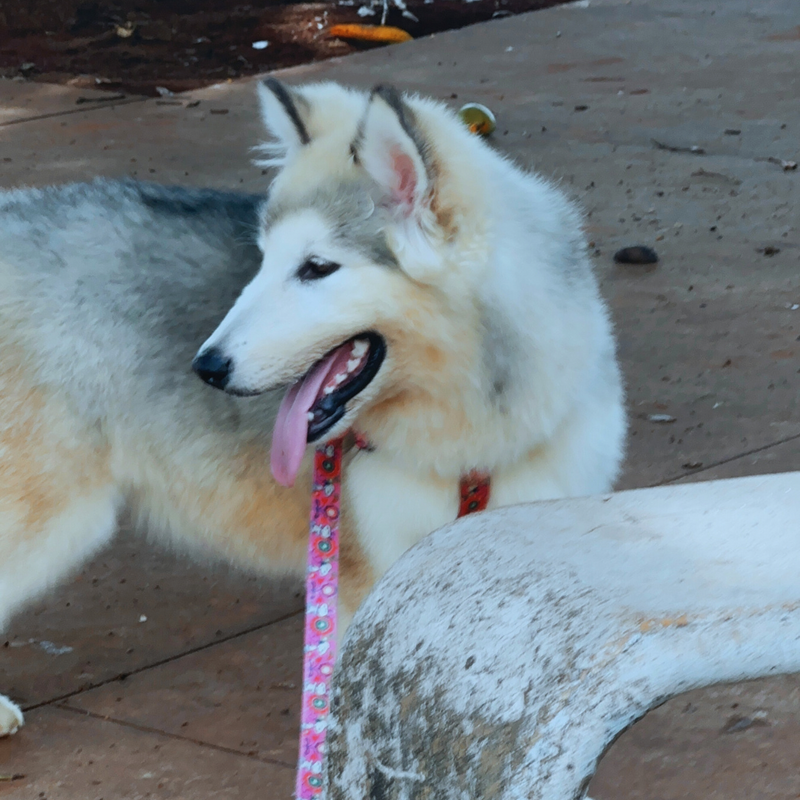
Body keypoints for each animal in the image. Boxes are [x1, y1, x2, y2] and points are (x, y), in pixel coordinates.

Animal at [0, 78, 624, 736]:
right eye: (262, 258)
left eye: (316, 268)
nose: (205, 367)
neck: (469, 433)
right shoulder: (371, 581)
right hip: (45, 515)